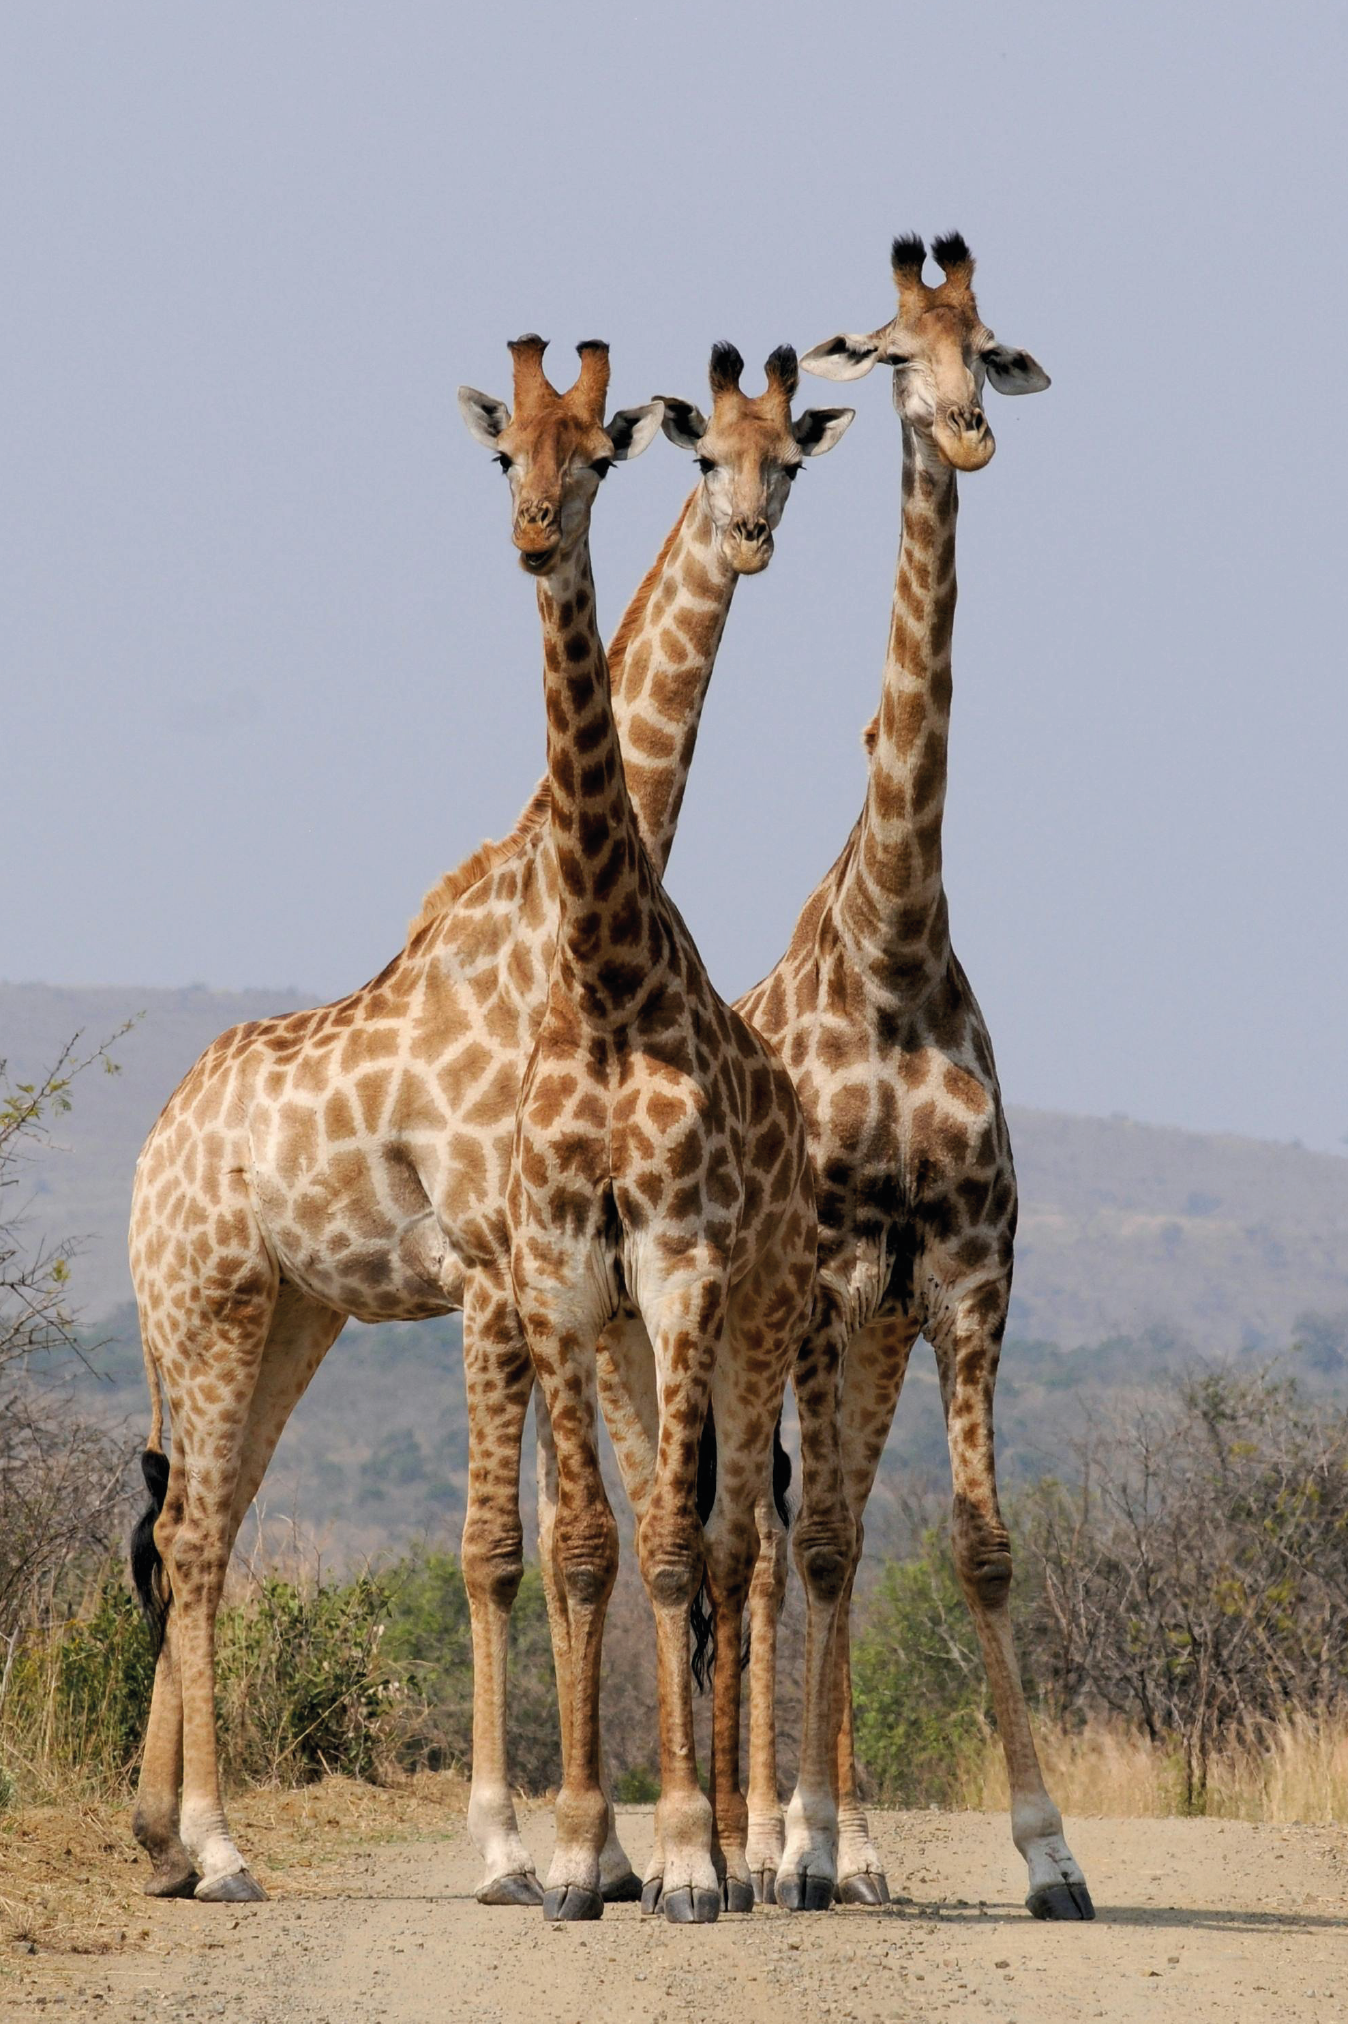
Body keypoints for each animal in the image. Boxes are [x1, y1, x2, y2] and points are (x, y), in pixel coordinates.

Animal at [125, 337, 852, 1905]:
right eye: (706, 456)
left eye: (789, 461)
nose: (749, 538)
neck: (558, 925)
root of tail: (150, 1152)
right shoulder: (491, 1267)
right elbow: (496, 1549)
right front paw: (520, 1846)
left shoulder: (572, 1278)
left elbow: (604, 1529)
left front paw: (620, 1853)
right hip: (206, 1305)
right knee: (196, 1535)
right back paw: (215, 1844)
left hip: (290, 1312)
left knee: (204, 1518)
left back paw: (162, 1830)